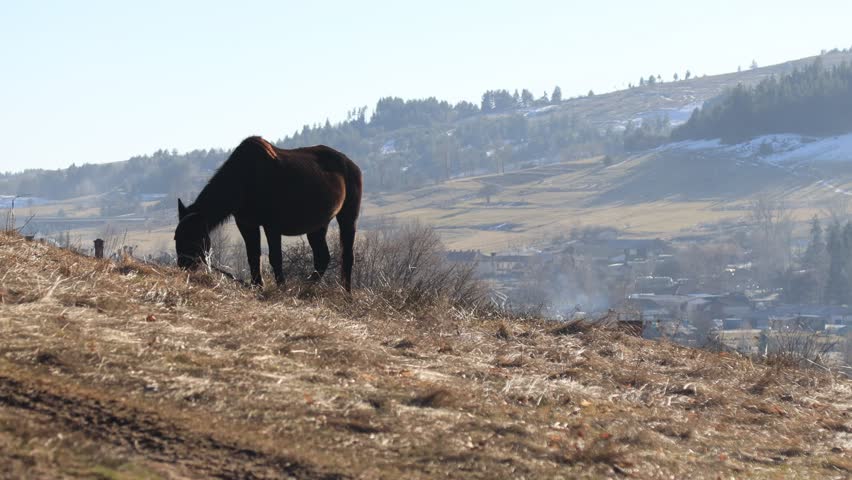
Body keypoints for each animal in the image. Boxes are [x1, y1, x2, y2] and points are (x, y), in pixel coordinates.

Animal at [174, 136, 362, 291]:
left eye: (193, 237)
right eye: (177, 237)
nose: (183, 266)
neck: (244, 180)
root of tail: (353, 166)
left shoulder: (272, 226)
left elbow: (275, 257)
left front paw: (281, 288)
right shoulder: (246, 223)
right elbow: (253, 256)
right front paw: (257, 285)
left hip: (348, 216)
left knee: (347, 255)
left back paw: (346, 293)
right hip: (318, 225)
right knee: (322, 257)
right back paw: (305, 287)